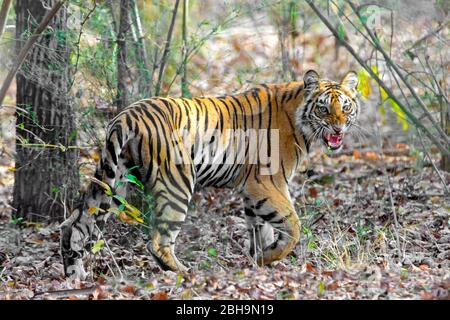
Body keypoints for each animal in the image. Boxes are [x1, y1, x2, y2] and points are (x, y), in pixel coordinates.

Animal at [61, 69, 360, 278]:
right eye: (323, 108)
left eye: (345, 107)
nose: (338, 128)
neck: (300, 120)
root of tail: (127, 115)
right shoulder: (267, 182)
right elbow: (292, 225)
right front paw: (270, 257)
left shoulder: (251, 191)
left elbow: (259, 229)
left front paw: (259, 260)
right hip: (177, 183)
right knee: (157, 242)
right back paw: (183, 272)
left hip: (112, 181)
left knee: (75, 226)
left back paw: (74, 274)